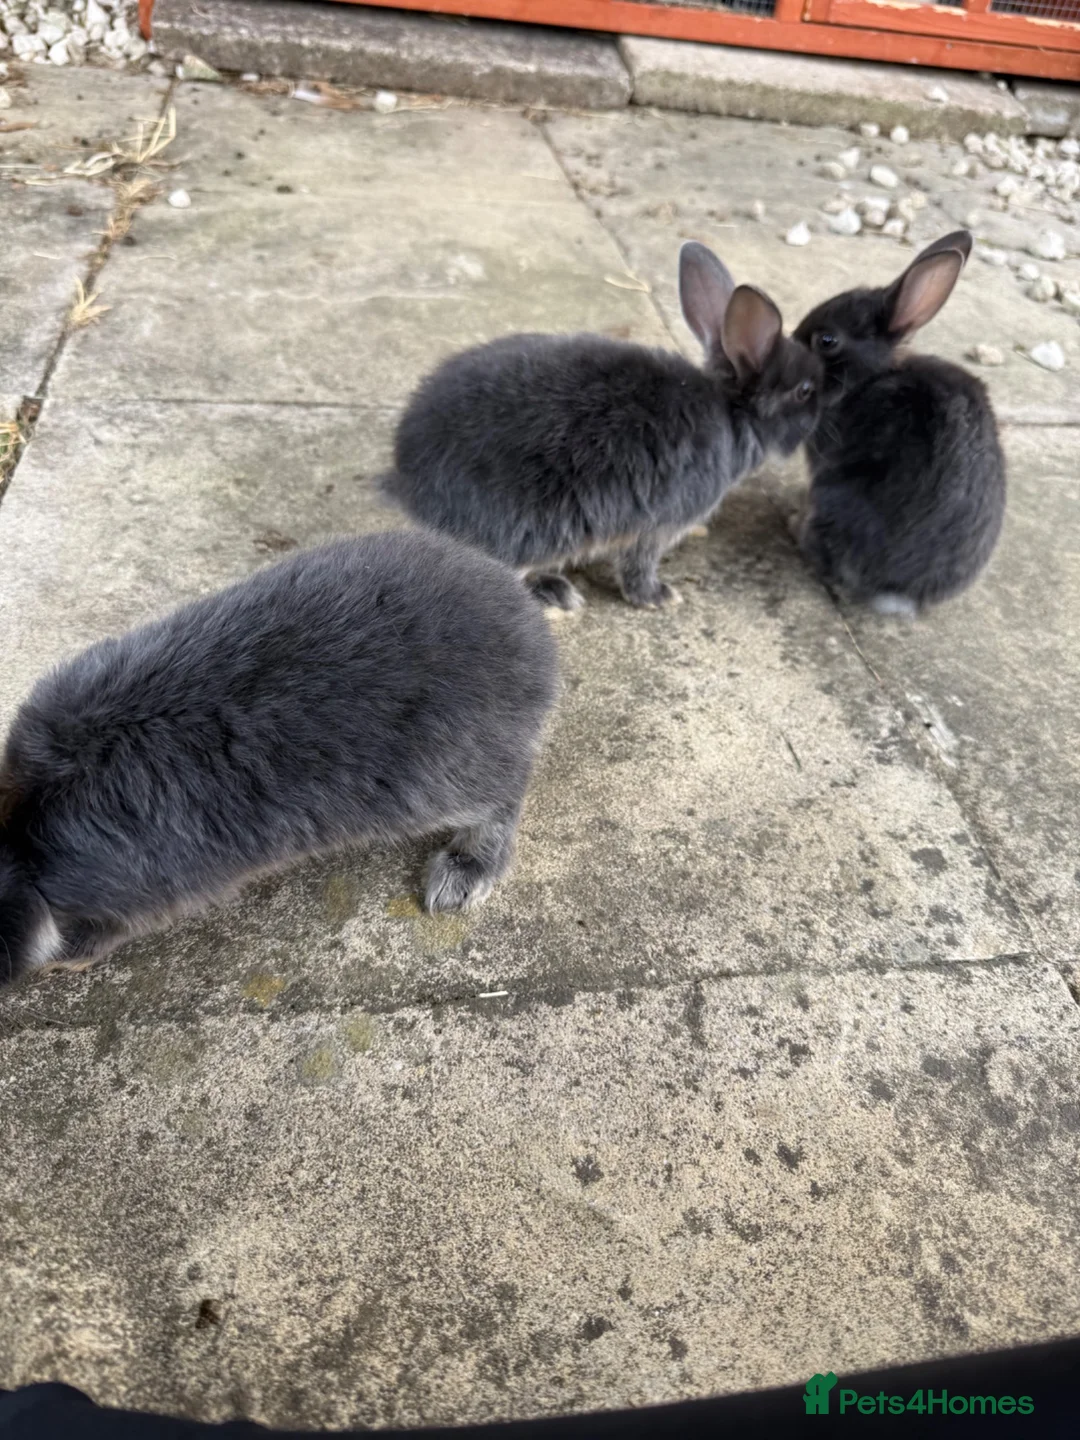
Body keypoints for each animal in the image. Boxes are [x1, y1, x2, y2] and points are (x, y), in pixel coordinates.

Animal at [0, 530, 557, 988]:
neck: (24, 843)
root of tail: (532, 635)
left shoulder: (129, 901)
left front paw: (63, 960)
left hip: (438, 779)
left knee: (504, 794)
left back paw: (465, 871)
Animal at [383, 242, 823, 612]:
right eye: (805, 390)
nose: (821, 415)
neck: (732, 410)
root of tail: (408, 482)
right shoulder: (657, 526)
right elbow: (638, 566)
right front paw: (657, 597)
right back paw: (554, 592)